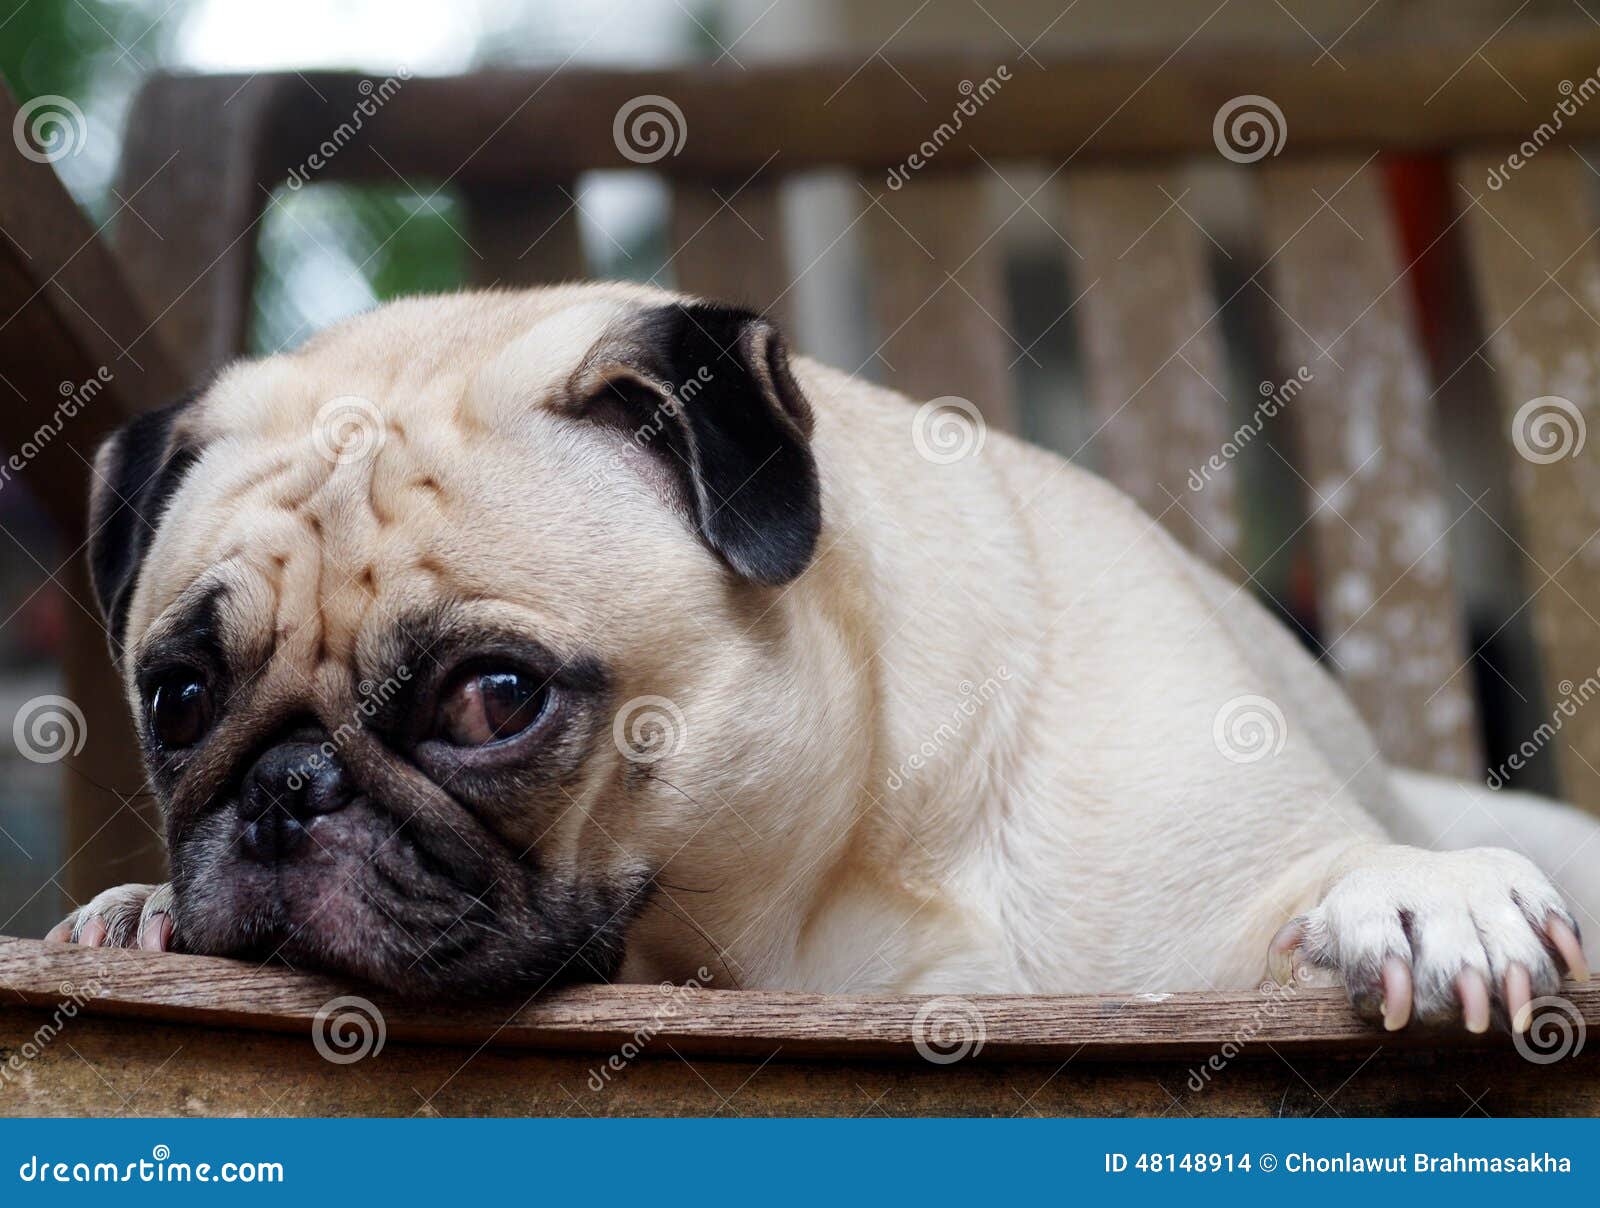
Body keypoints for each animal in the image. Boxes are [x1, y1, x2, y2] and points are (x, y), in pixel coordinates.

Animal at [43, 278, 1593, 1036]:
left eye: (491, 699)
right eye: (179, 698)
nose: (286, 787)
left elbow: (1323, 885)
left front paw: (1416, 898)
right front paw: (142, 909)